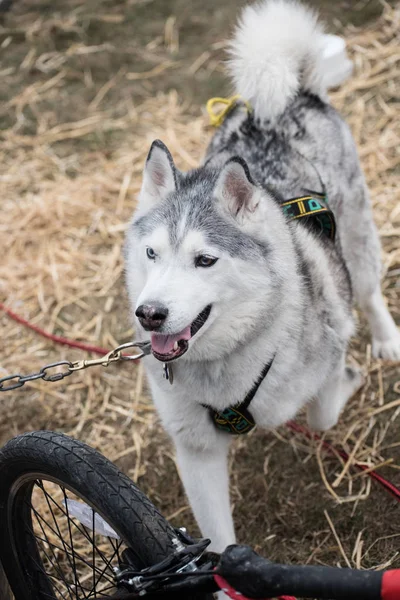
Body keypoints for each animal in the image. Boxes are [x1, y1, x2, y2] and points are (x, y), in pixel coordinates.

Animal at [125, 0, 400, 552]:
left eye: (205, 260)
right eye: (151, 253)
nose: (150, 314)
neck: (223, 368)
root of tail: (290, 95)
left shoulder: (327, 344)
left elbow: (322, 410)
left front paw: (351, 380)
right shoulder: (195, 448)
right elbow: (217, 539)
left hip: (357, 235)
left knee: (367, 288)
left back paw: (386, 340)